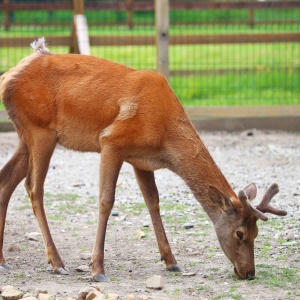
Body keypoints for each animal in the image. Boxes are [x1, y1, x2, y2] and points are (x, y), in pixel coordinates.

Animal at [0, 37, 288, 282]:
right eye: (240, 233)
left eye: (257, 233)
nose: (249, 272)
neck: (164, 137)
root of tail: (7, 77)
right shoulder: (111, 142)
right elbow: (106, 201)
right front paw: (97, 269)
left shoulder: (140, 161)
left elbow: (153, 202)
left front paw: (171, 261)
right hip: (40, 130)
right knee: (33, 187)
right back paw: (57, 263)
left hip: (26, 135)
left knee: (6, 181)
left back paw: (3, 260)